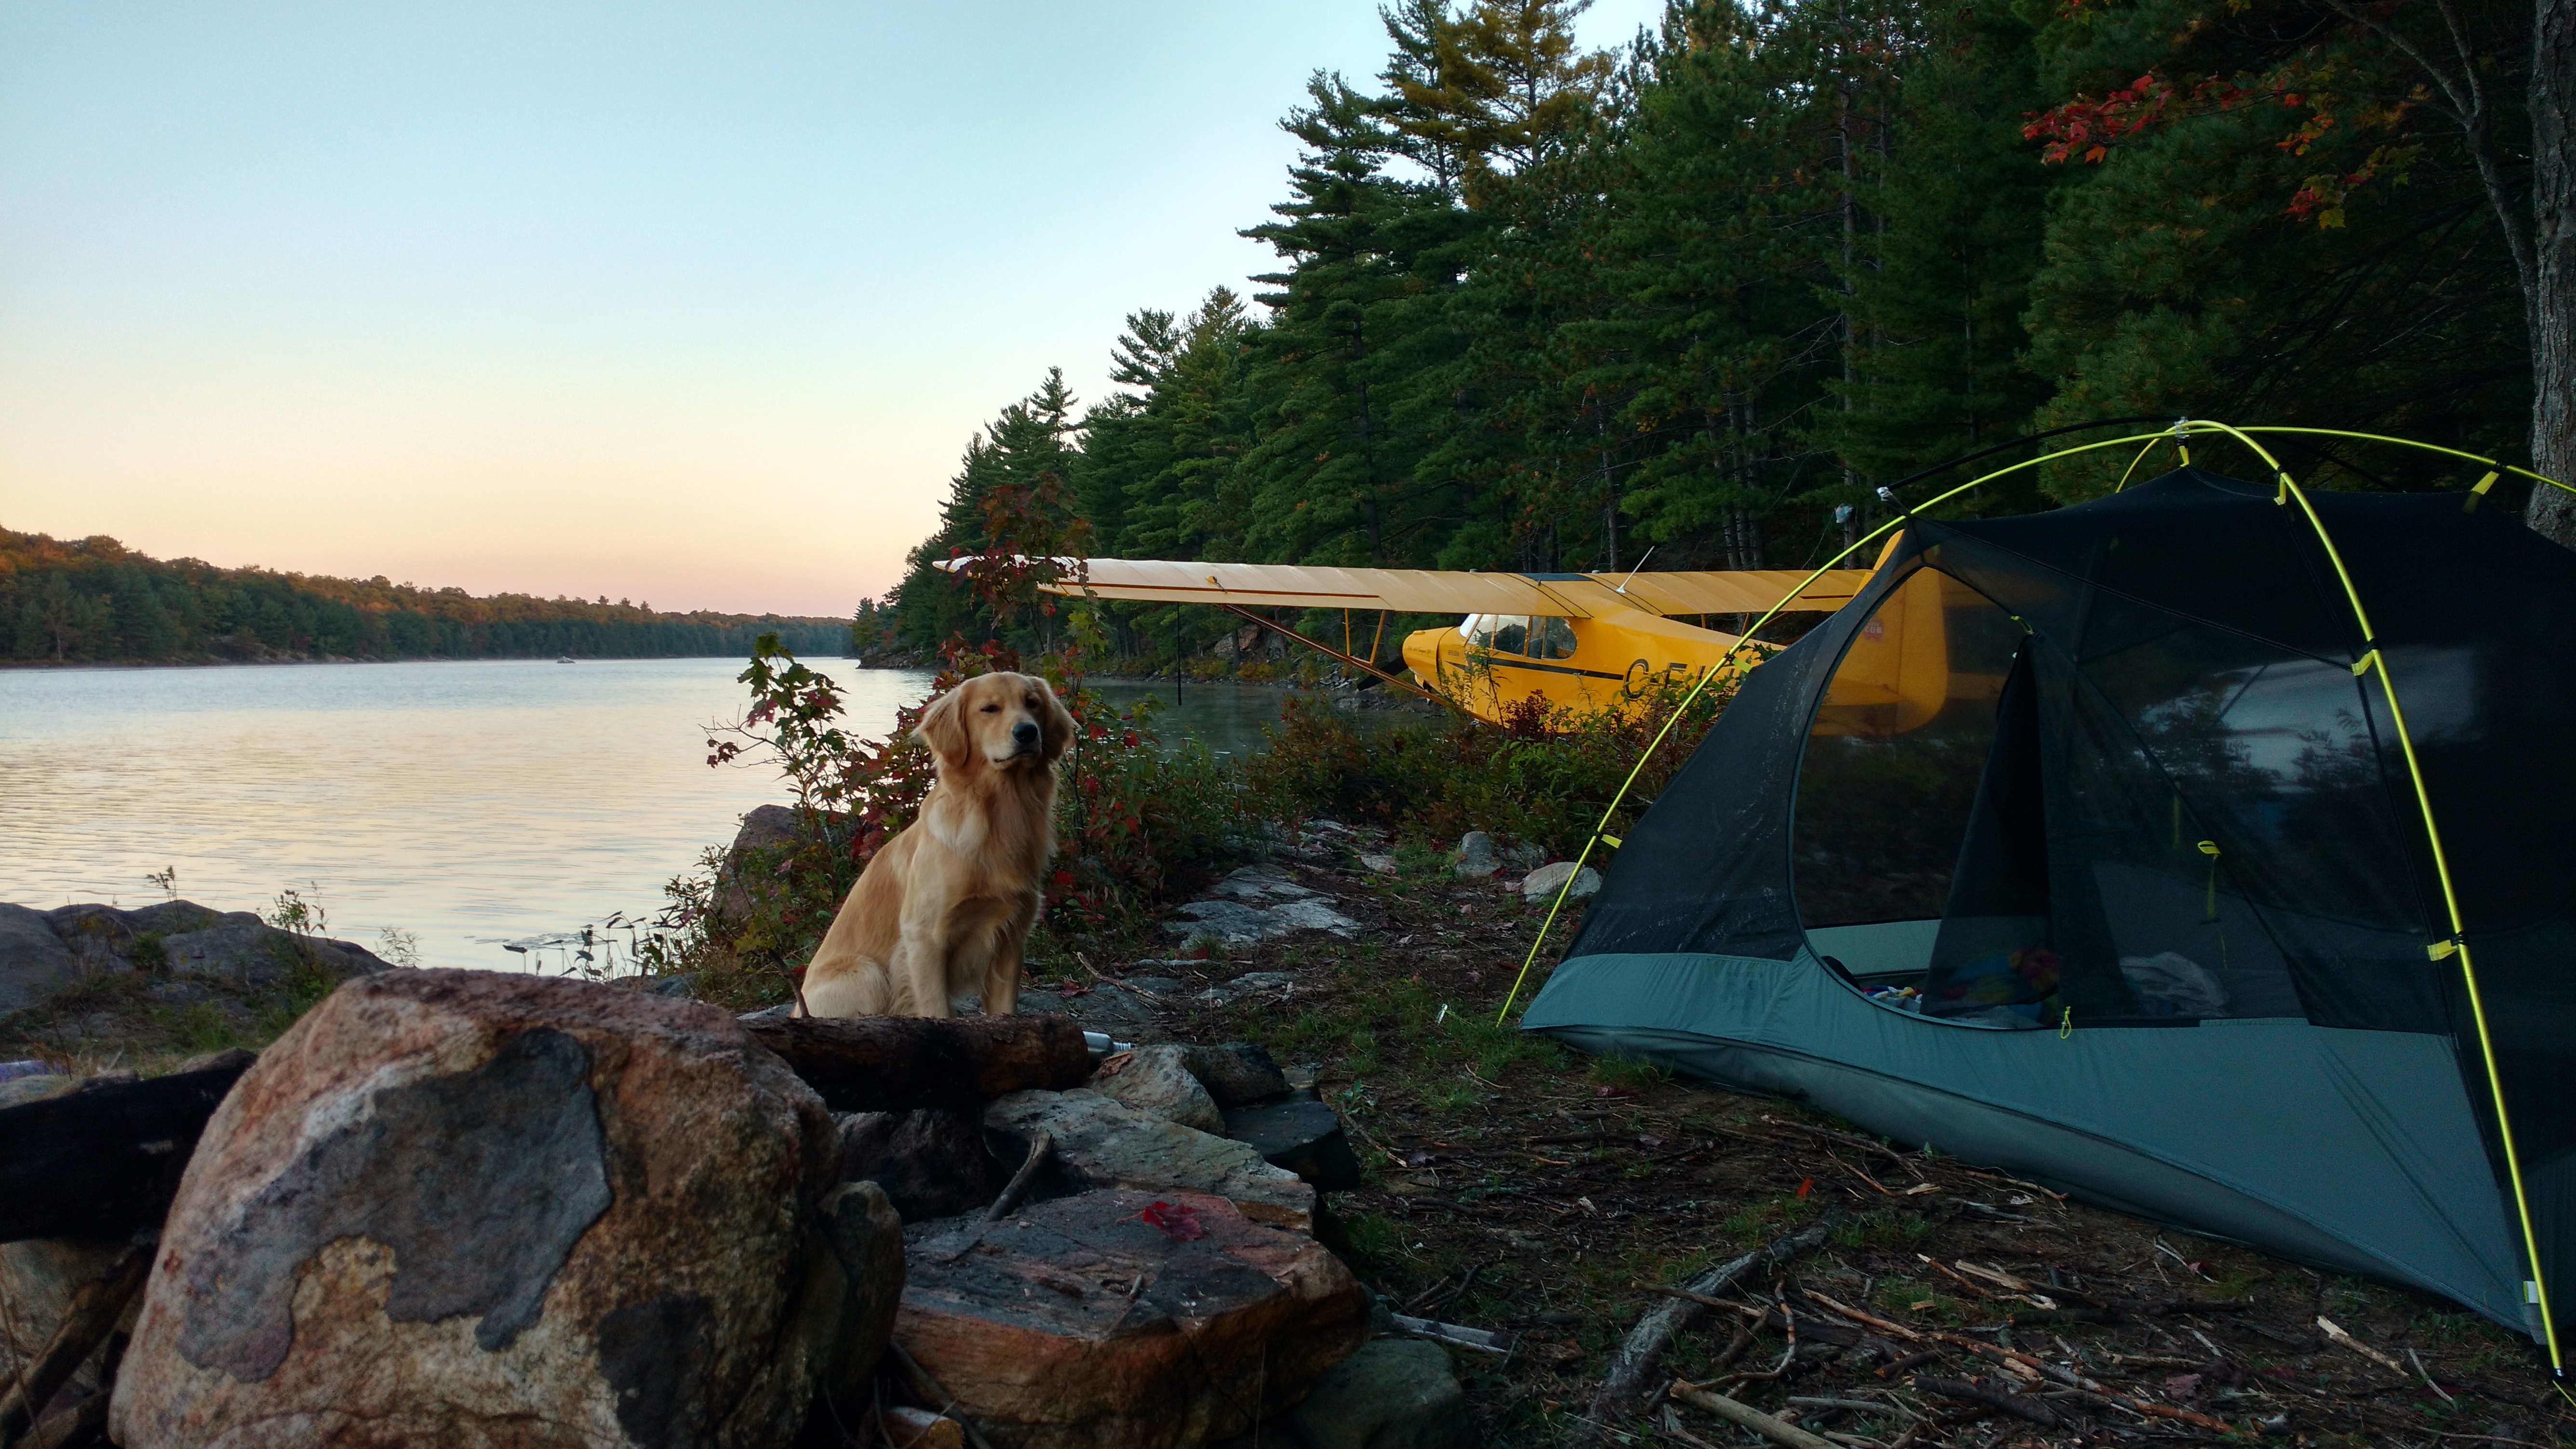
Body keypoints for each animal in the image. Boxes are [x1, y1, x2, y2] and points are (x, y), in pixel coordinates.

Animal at [798, 670, 1072, 1016]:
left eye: (1032, 703)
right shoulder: (924, 939)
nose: (1027, 732)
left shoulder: (1012, 937)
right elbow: (937, 1010)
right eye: (990, 709)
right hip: (868, 974)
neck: (999, 813)